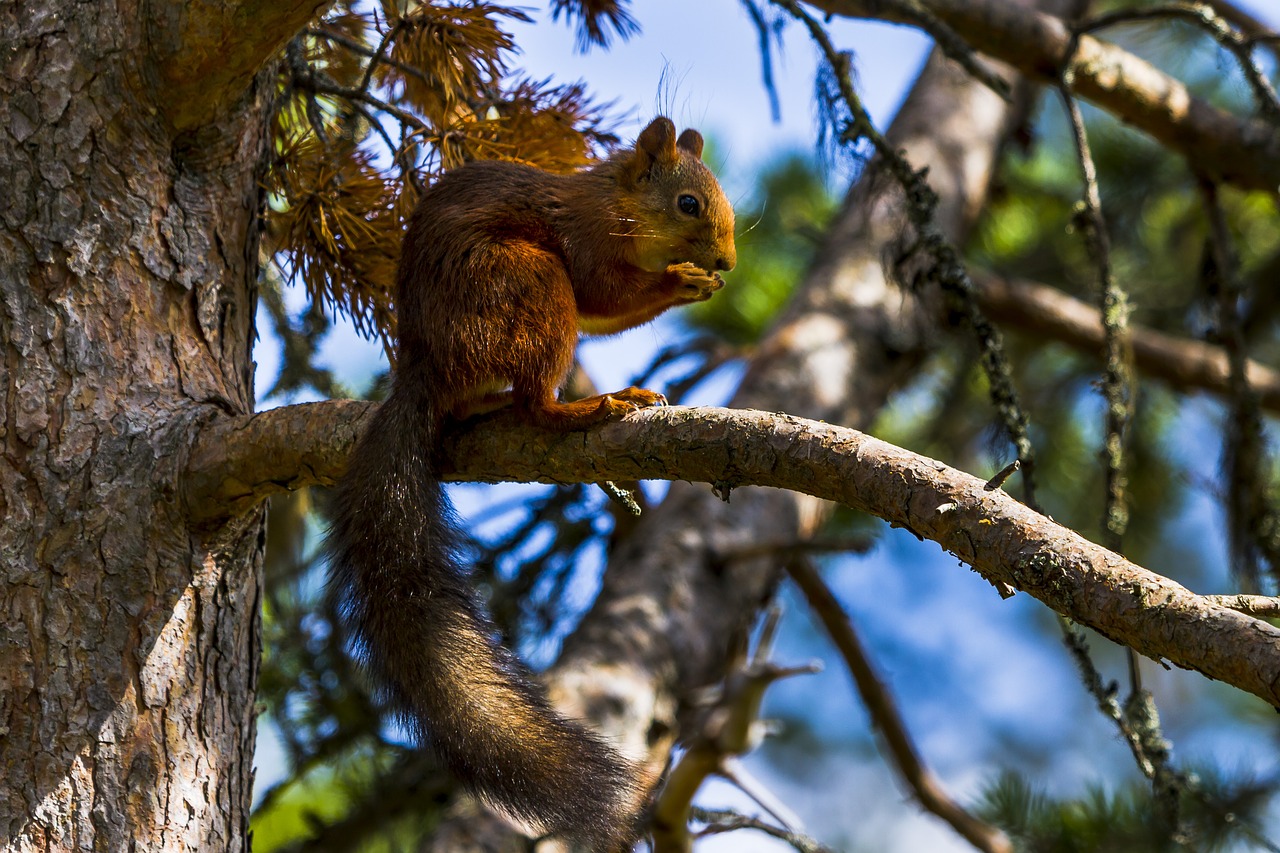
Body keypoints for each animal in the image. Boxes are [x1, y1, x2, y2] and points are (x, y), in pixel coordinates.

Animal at [325, 116, 737, 845]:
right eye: (688, 204)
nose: (727, 261)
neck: (614, 201)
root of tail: (424, 372)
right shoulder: (586, 242)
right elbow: (603, 294)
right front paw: (681, 283)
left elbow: (608, 313)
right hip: (529, 283)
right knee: (535, 402)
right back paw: (592, 405)